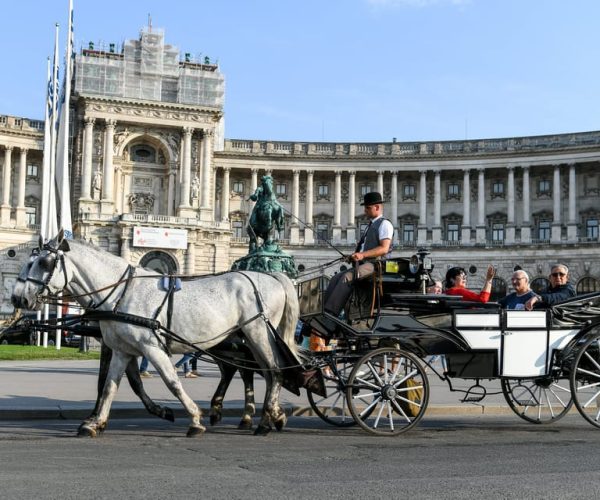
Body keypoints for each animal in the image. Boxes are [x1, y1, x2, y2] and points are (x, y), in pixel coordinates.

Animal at [12, 231, 304, 438]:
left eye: (44, 262)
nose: (17, 298)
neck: (121, 293)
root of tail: (274, 276)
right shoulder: (122, 350)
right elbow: (109, 387)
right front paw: (94, 423)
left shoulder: (151, 346)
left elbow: (171, 382)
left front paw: (194, 419)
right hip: (244, 338)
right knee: (258, 371)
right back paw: (269, 416)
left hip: (257, 331)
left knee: (274, 370)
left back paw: (264, 421)